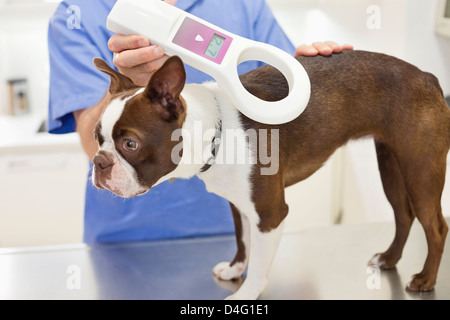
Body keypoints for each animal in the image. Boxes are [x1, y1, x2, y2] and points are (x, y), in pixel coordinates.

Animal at [91, 50, 450, 300]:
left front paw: (246, 294)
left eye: (130, 144)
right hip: (390, 164)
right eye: (97, 137)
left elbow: (261, 264)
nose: (98, 161)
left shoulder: (270, 213)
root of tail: (427, 76)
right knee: (403, 215)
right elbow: (243, 240)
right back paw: (389, 258)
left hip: (419, 169)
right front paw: (235, 269)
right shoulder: (240, 204)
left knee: (435, 226)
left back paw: (425, 279)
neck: (216, 131)